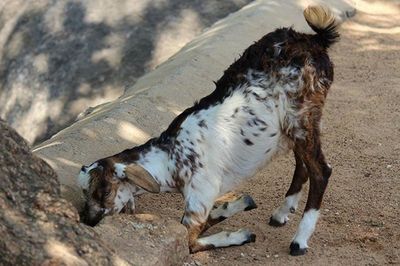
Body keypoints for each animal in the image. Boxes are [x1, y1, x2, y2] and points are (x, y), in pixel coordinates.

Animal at [79, 5, 340, 256]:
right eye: (85, 194)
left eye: (103, 192)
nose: (87, 221)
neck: (172, 156)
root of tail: (314, 40)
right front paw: (238, 205)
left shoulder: (199, 198)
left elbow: (190, 242)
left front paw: (240, 234)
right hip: (296, 127)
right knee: (303, 165)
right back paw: (281, 213)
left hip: (300, 120)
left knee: (321, 171)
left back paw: (300, 240)